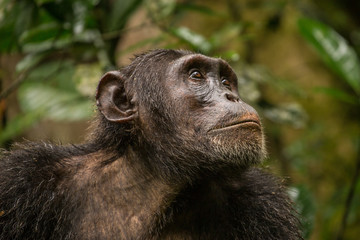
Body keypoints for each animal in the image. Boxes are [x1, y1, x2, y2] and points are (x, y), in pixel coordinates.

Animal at [0, 49, 300, 240]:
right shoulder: (22, 180)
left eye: (226, 81)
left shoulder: (265, 205)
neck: (155, 184)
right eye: (196, 76)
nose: (232, 96)